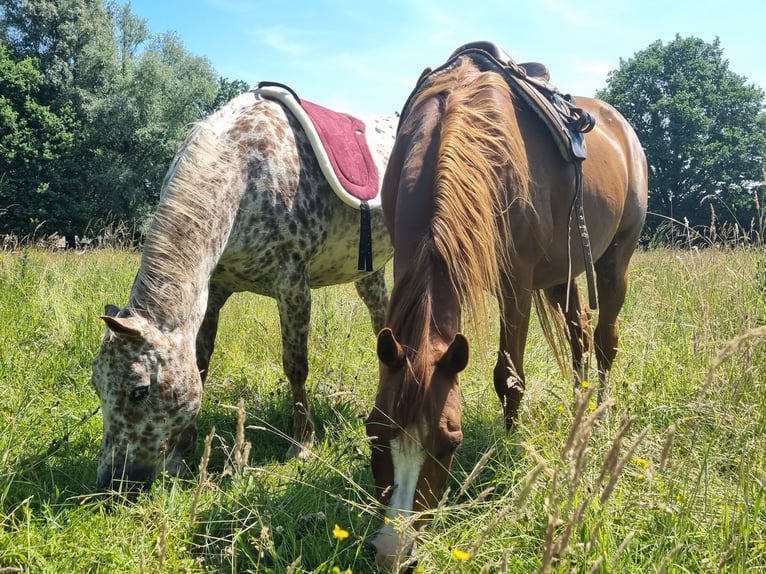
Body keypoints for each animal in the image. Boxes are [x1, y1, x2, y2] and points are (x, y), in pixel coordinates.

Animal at [91, 89, 396, 490]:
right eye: (97, 386)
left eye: (139, 390)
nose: (111, 482)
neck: (247, 173)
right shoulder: (215, 290)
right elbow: (201, 364)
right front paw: (181, 454)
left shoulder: (293, 286)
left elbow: (295, 365)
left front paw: (301, 443)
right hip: (369, 272)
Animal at [366, 46, 648, 572]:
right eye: (374, 433)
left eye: (450, 445)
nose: (394, 552)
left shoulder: (515, 286)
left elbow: (508, 378)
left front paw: (510, 447)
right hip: (561, 276)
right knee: (578, 334)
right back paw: (578, 405)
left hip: (613, 262)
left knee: (604, 340)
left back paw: (598, 411)